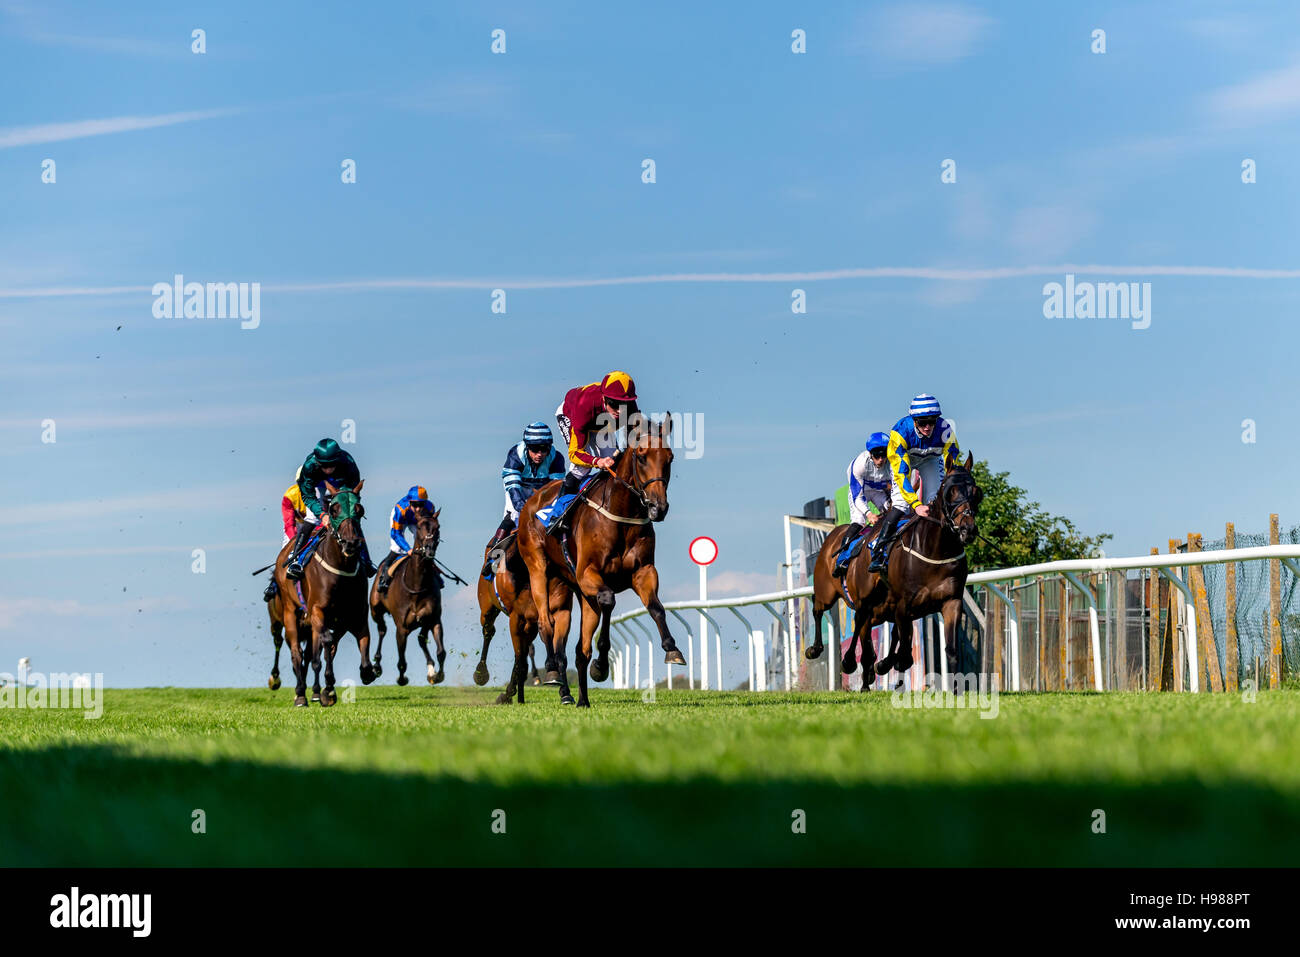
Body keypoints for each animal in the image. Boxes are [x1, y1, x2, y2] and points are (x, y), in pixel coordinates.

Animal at [271, 481, 379, 707]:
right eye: (334, 509)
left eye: (360, 510)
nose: (351, 543)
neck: (341, 568)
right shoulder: (317, 611)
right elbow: (327, 643)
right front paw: (327, 689)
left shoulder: (353, 615)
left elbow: (359, 640)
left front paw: (366, 672)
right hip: (290, 612)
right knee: (296, 653)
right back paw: (300, 694)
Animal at [366, 504, 447, 686]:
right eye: (420, 527)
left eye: (438, 527)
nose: (429, 549)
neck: (416, 584)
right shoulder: (401, 628)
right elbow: (402, 662)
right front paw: (402, 679)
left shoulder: (434, 619)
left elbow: (441, 652)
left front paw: (437, 675)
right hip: (375, 610)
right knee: (382, 630)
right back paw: (377, 665)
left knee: (421, 639)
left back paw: (431, 670)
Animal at [473, 530, 564, 702]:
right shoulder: (516, 618)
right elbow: (520, 657)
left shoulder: (534, 620)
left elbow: (522, 656)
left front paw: (511, 692)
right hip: (487, 607)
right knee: (488, 631)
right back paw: (481, 673)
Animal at [512, 416, 686, 707]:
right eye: (641, 456)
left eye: (670, 457)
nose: (658, 508)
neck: (621, 515)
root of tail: (532, 501)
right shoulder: (588, 574)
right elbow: (608, 601)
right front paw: (601, 666)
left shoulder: (643, 571)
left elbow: (656, 607)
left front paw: (672, 648)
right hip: (539, 568)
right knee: (546, 623)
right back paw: (552, 672)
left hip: (575, 589)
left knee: (579, 649)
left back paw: (581, 699)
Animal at [806, 455, 977, 681]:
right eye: (950, 491)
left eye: (976, 491)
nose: (968, 528)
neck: (936, 551)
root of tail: (834, 536)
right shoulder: (903, 605)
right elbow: (901, 651)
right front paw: (878, 664)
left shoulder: (951, 601)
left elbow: (949, 652)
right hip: (830, 593)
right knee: (818, 607)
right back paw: (818, 650)